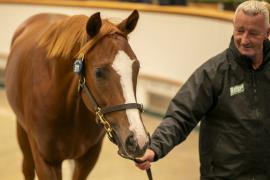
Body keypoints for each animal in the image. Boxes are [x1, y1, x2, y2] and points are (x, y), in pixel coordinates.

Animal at [4, 10, 150, 179]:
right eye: (98, 72)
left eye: (136, 67)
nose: (139, 140)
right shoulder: (46, 162)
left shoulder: (88, 158)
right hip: (22, 131)